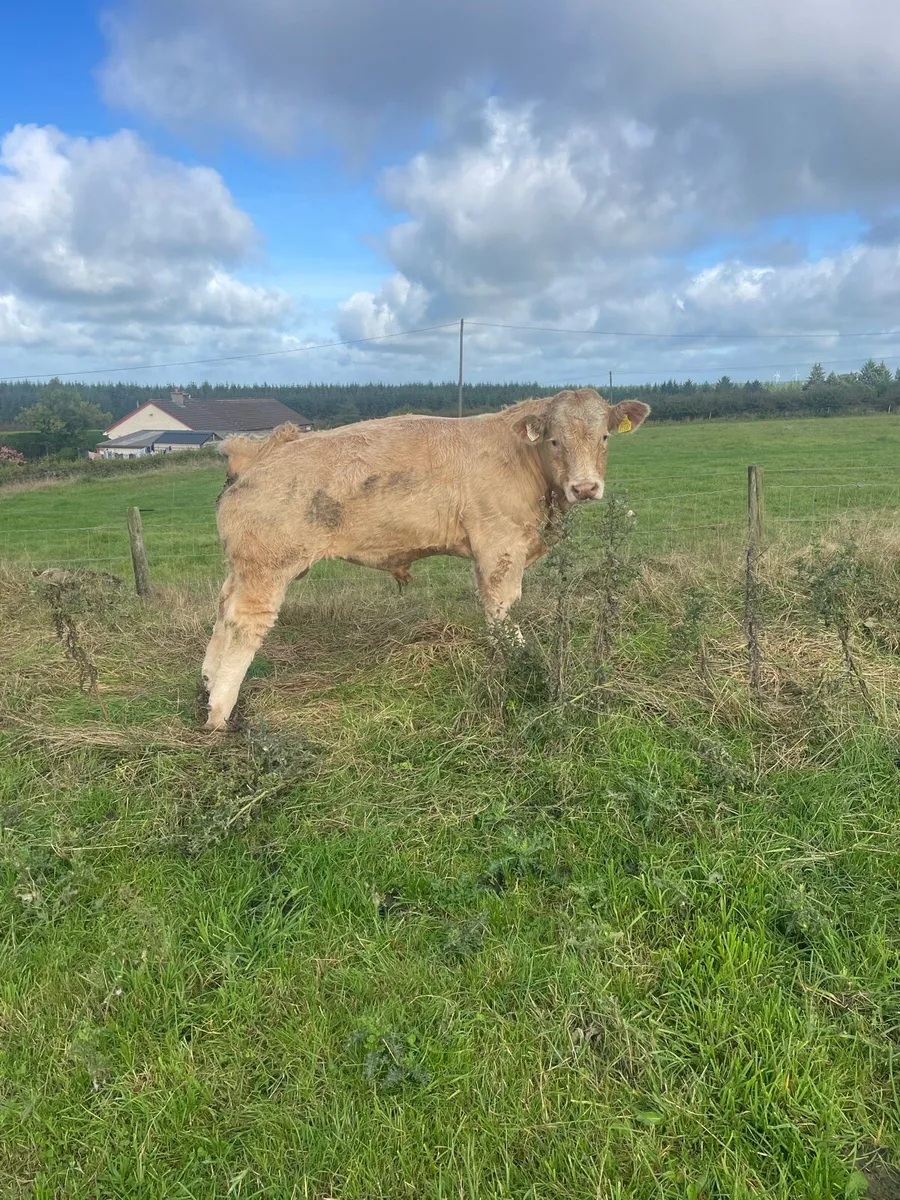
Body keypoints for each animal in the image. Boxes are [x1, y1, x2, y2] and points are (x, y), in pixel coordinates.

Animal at [201, 387, 650, 730]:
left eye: (604, 437)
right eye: (555, 440)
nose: (585, 487)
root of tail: (256, 454)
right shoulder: (500, 544)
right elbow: (501, 607)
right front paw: (520, 660)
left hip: (242, 568)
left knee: (222, 611)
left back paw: (207, 681)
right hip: (267, 566)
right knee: (243, 625)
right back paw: (219, 713)